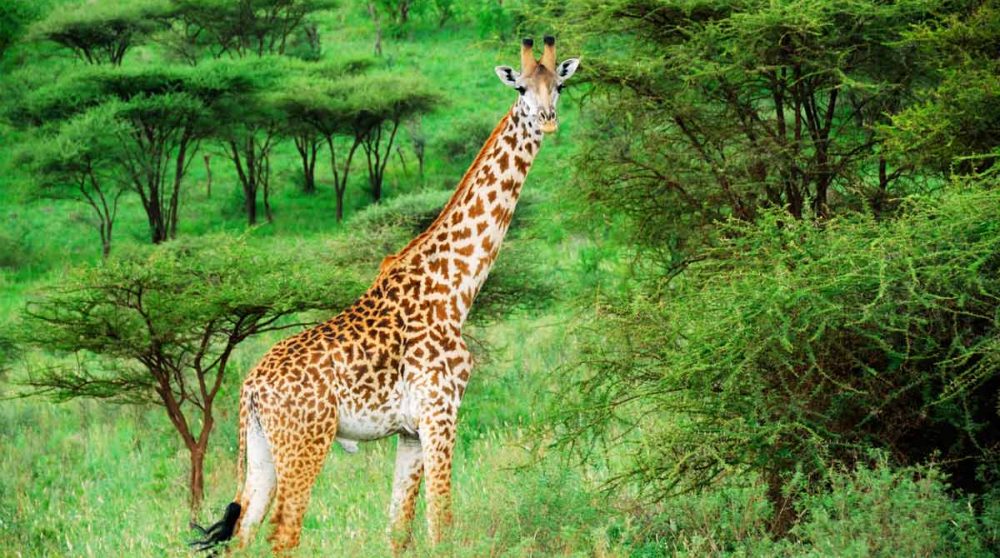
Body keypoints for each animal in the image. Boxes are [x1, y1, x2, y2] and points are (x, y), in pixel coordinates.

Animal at [192, 36, 580, 554]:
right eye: (520, 87)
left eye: (559, 84)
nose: (548, 119)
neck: (455, 286)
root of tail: (251, 388)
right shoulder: (441, 412)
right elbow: (441, 523)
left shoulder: (410, 431)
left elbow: (398, 530)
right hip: (305, 443)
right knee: (284, 535)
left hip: (259, 450)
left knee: (243, 533)